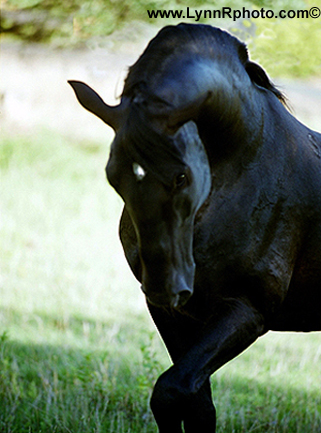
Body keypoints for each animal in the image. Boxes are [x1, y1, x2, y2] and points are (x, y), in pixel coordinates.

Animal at [69, 24, 320, 432]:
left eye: (182, 177)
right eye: (113, 176)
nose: (166, 285)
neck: (241, 160)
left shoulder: (247, 309)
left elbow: (172, 391)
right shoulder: (175, 313)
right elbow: (195, 402)